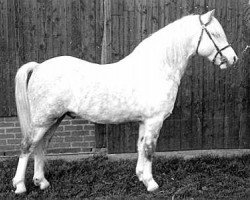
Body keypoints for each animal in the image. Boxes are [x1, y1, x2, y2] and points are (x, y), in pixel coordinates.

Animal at [13, 10, 236, 194]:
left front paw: (141, 177)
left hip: (54, 119)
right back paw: (20, 186)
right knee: (27, 146)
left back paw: (41, 182)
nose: (233, 58)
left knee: (41, 146)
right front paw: (151, 184)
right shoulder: (154, 121)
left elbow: (140, 147)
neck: (156, 68)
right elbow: (149, 149)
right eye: (215, 34)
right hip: (43, 120)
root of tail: (39, 66)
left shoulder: (144, 121)